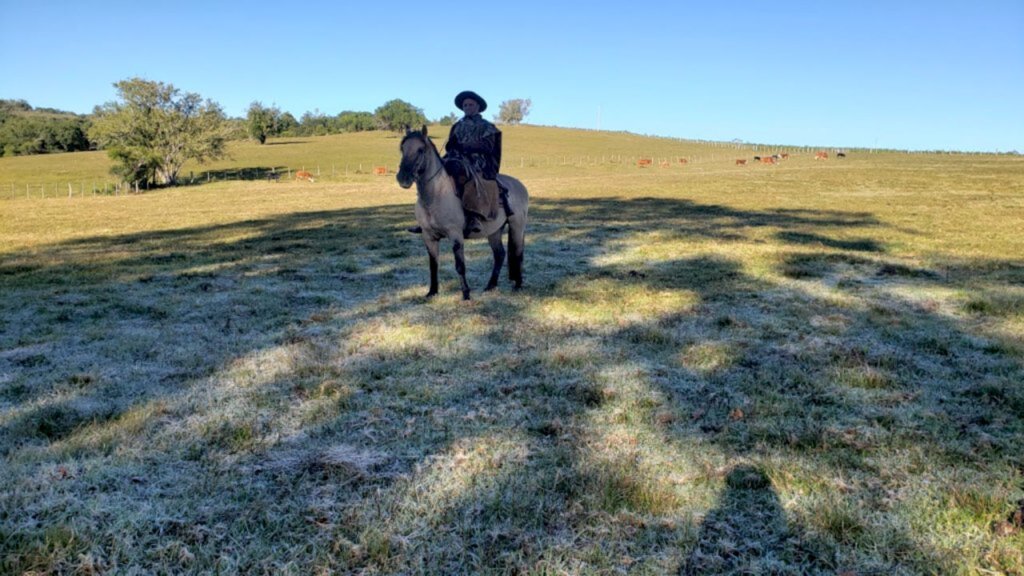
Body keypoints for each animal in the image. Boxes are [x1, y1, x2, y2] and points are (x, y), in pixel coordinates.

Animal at [395, 123, 532, 297]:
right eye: (402, 148)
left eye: (420, 150)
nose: (403, 178)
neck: (436, 195)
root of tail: (520, 186)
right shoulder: (428, 236)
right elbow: (433, 265)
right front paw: (432, 292)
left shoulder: (456, 235)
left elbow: (460, 265)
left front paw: (466, 294)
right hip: (495, 230)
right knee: (499, 254)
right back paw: (490, 285)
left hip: (517, 226)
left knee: (518, 252)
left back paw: (518, 285)